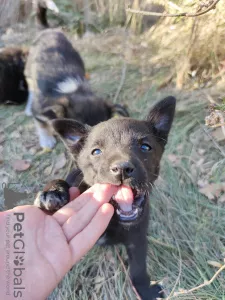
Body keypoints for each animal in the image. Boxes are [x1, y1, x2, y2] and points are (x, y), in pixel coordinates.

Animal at [34, 96, 177, 300]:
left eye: (145, 147)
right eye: (96, 152)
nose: (122, 168)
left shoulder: (137, 239)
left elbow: (138, 269)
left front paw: (146, 291)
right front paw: (53, 192)